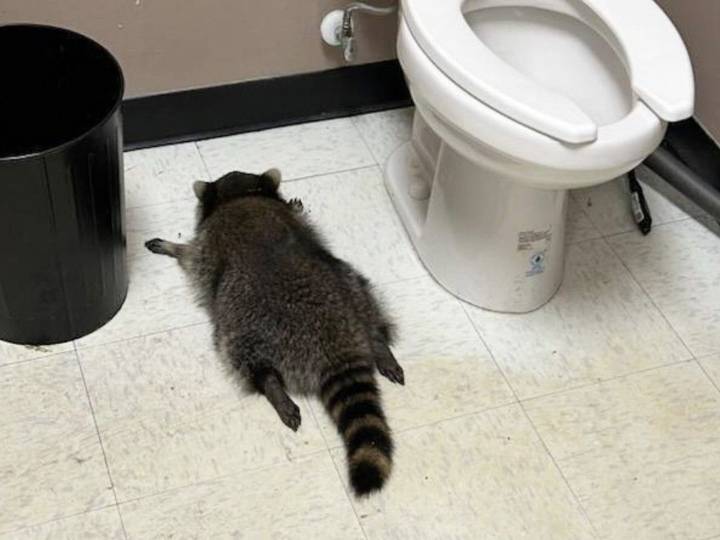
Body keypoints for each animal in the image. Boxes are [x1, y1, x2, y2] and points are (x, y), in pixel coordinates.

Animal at [144, 169, 404, 496]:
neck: (241, 195)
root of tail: (335, 342)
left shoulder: (207, 247)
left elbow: (191, 255)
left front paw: (172, 247)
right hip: (351, 285)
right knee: (367, 302)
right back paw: (380, 344)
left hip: (244, 323)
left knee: (241, 355)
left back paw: (271, 385)